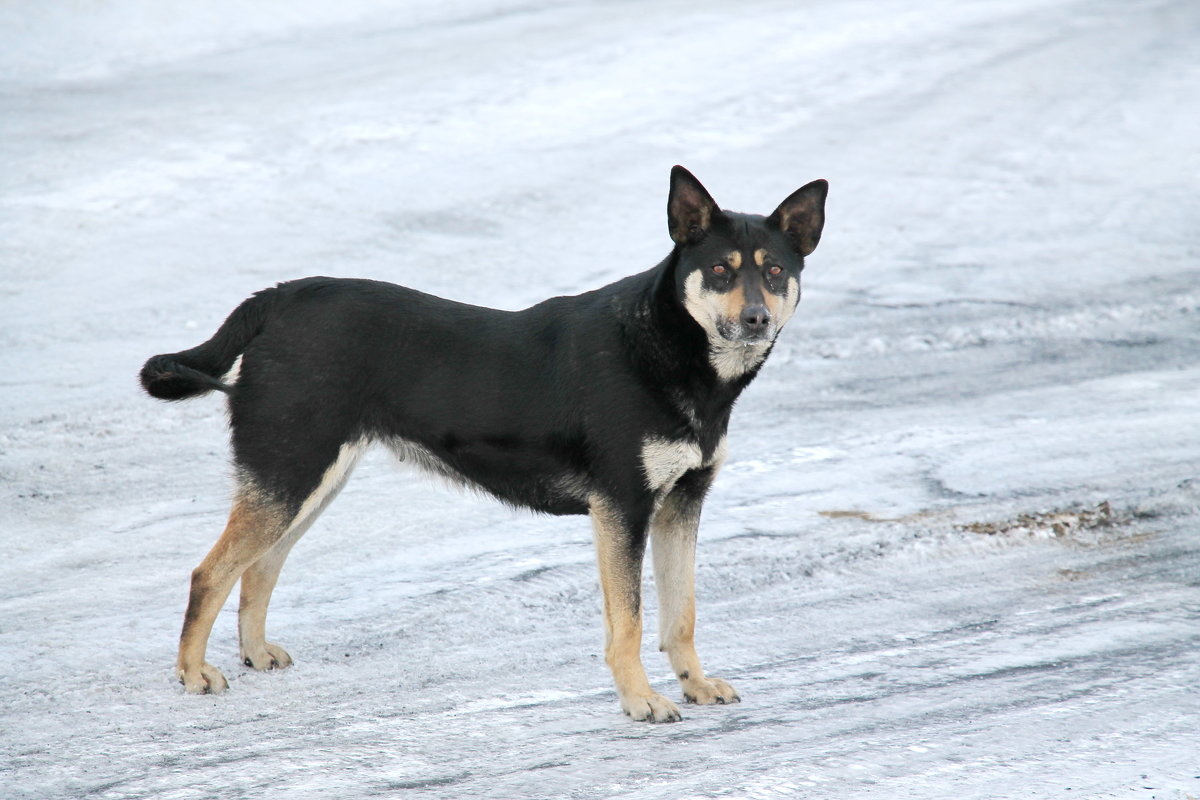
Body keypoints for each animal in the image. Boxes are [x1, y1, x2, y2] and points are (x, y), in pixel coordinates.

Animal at [140, 165, 825, 724]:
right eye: (719, 270)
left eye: (774, 271)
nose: (757, 319)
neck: (668, 349)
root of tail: (277, 298)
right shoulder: (622, 510)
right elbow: (627, 624)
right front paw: (641, 702)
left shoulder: (682, 503)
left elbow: (680, 614)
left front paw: (695, 685)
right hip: (288, 474)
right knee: (209, 573)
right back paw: (194, 673)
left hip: (310, 481)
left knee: (258, 568)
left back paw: (254, 653)